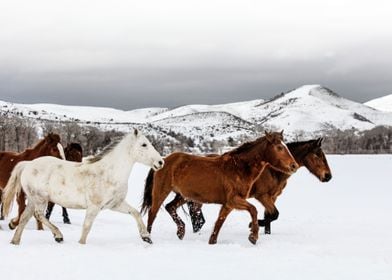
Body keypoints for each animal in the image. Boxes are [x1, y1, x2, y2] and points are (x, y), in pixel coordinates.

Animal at [2, 130, 164, 245]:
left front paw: (146, 237)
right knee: (38, 215)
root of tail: (28, 164)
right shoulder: (94, 207)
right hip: (40, 199)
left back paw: (15, 241)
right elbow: (87, 227)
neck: (109, 172)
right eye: (144, 144)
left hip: (33, 199)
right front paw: (81, 244)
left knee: (25, 217)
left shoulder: (115, 204)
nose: (160, 162)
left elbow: (135, 213)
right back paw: (58, 235)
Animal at [141, 132, 298, 244]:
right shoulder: (234, 200)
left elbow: (219, 223)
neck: (239, 168)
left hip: (183, 195)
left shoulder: (228, 204)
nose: (294, 166)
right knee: (152, 214)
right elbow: (253, 210)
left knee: (170, 207)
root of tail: (162, 161)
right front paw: (253, 237)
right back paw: (147, 239)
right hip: (161, 192)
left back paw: (181, 232)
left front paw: (212, 241)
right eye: (279, 147)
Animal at [185, 138, 332, 234]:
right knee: (194, 213)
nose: (328, 176)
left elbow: (270, 216)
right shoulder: (262, 196)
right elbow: (274, 215)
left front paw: (265, 232)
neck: (274, 169)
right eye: (317, 155)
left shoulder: (272, 197)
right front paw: (252, 225)